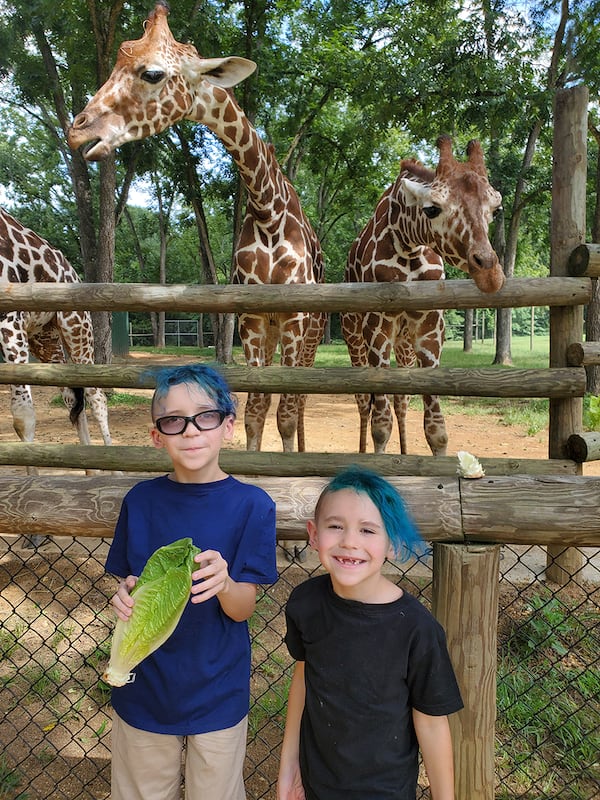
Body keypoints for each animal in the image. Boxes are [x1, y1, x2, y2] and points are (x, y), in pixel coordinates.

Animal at [0, 206, 113, 456]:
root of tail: (74, 273)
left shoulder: (9, 319)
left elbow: (23, 415)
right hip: (43, 337)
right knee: (72, 397)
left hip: (77, 327)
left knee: (96, 396)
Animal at [67, 1, 324, 564]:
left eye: (152, 73)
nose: (78, 131)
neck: (268, 210)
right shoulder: (253, 320)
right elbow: (254, 413)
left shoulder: (294, 318)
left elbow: (284, 414)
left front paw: (293, 538)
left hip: (311, 335)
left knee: (298, 407)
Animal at [340, 138, 504, 456]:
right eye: (431, 209)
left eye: (496, 209)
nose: (490, 274)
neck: (409, 245)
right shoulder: (377, 328)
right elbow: (381, 425)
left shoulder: (429, 328)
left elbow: (436, 429)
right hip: (354, 336)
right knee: (364, 403)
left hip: (403, 344)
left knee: (401, 402)